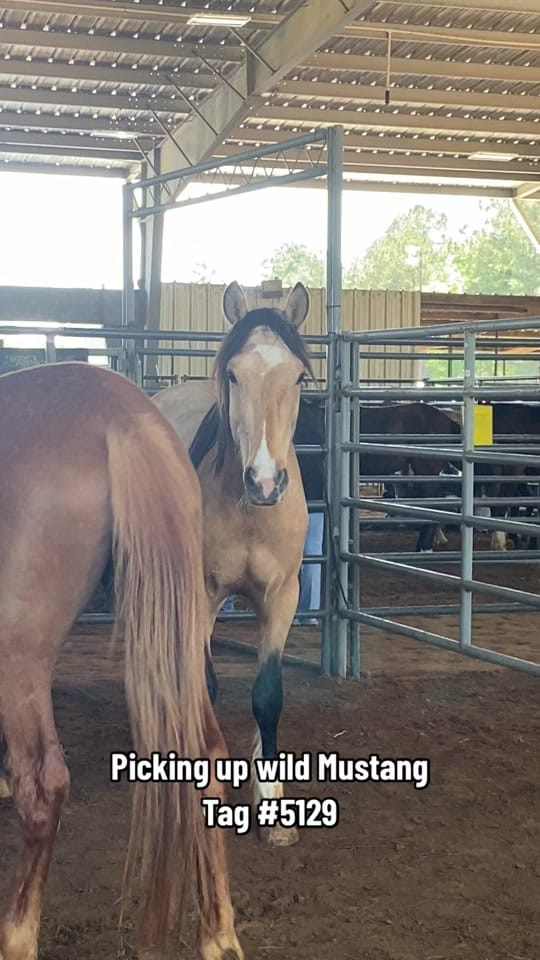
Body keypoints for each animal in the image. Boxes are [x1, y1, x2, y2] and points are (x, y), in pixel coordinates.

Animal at [0, 362, 243, 960]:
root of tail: (122, 417)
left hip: (19, 656)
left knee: (43, 786)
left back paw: (16, 936)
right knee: (208, 757)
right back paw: (218, 935)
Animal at [154, 281, 312, 847]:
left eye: (298, 376)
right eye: (233, 374)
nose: (265, 481)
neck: (250, 511)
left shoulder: (283, 596)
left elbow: (268, 695)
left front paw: (271, 804)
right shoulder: (201, 592)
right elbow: (205, 683)